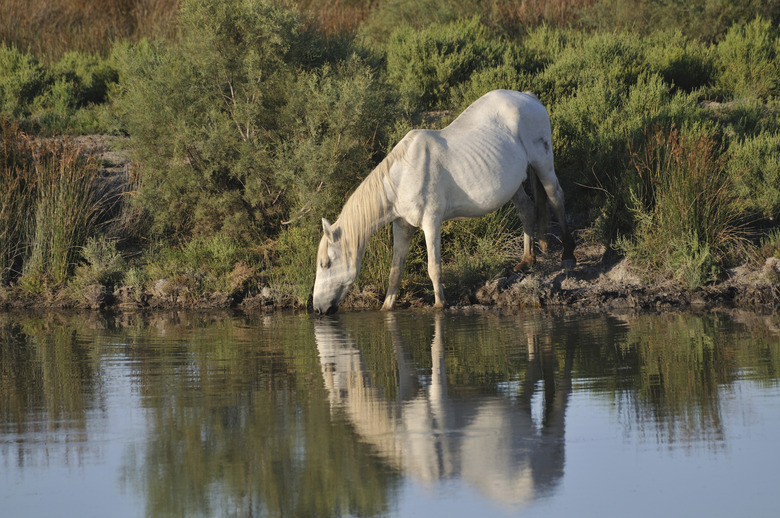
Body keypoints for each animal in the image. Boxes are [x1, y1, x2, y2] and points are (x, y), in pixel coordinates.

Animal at [314, 90, 576, 314]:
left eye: (326, 264)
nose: (317, 309)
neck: (403, 177)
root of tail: (529, 97)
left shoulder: (431, 222)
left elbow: (434, 267)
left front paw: (441, 304)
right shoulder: (402, 225)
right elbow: (395, 271)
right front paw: (387, 308)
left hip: (543, 162)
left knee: (556, 197)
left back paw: (568, 254)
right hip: (513, 184)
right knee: (527, 209)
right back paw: (526, 261)